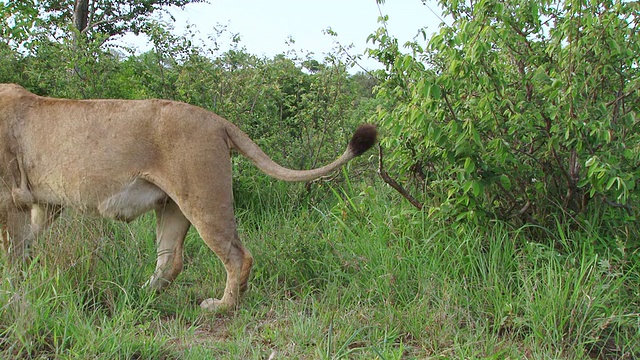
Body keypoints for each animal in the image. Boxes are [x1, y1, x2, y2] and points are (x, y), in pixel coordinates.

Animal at [0, 84, 378, 312]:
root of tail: (218, 120)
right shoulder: (43, 203)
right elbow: (26, 247)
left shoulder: (9, 198)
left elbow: (12, 254)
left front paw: (12, 296)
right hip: (172, 206)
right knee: (172, 260)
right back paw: (140, 295)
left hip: (203, 200)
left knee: (238, 256)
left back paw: (222, 307)